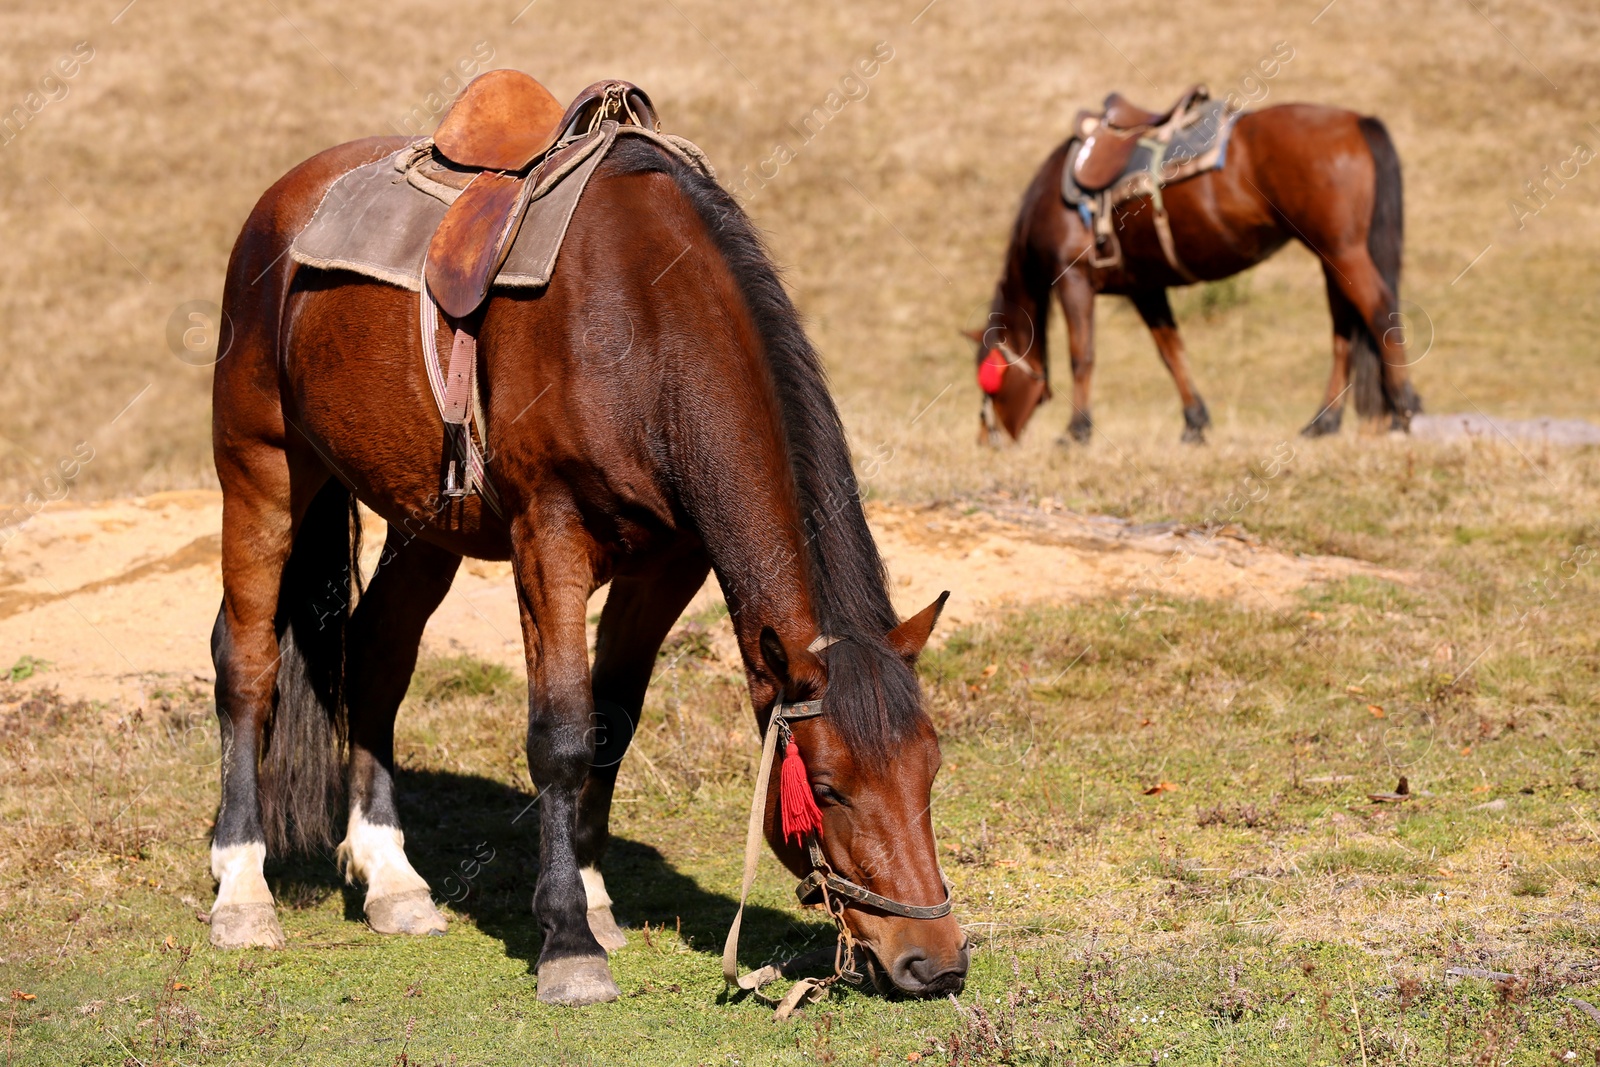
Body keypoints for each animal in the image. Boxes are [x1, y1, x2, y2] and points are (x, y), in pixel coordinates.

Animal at [208, 95, 966, 1004]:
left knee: (378, 654)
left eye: (930, 770)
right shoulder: (551, 538)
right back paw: (241, 889)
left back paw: (392, 878)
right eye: (826, 786)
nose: (935, 959)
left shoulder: (668, 564)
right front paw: (568, 938)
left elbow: (613, 720)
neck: (643, 324)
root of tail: (284, 199)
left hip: (425, 522)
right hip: (260, 466)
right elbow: (562, 734)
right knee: (247, 662)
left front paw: (597, 901)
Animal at [972, 99, 1427, 447]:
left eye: (988, 376)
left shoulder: (1075, 280)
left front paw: (1076, 431)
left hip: (1343, 252)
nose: (986, 438)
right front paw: (1194, 423)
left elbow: (1082, 356)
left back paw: (1403, 409)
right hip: (1331, 256)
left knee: (1379, 310)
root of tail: (1356, 120)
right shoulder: (1146, 288)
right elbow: (1172, 352)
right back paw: (1324, 421)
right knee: (1343, 331)